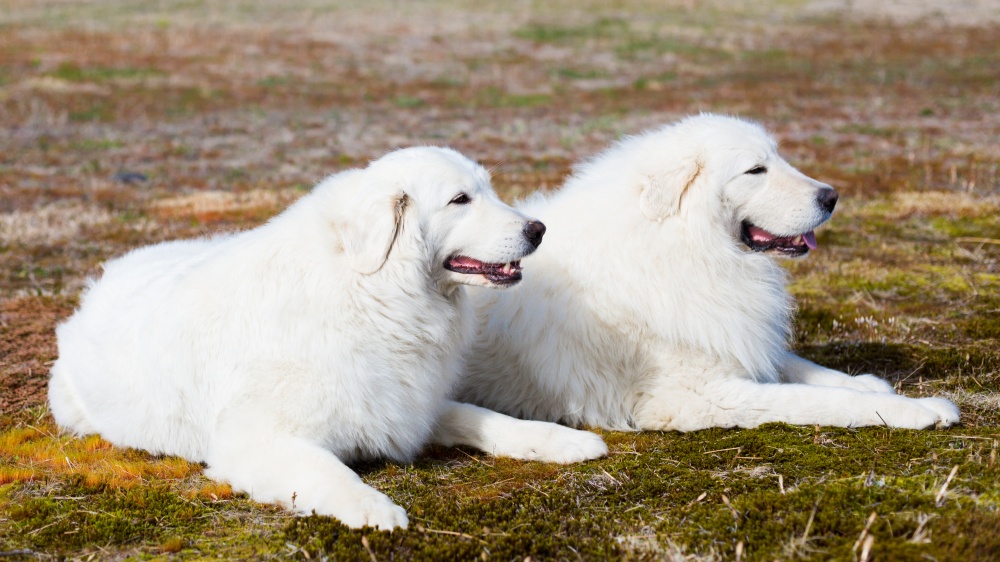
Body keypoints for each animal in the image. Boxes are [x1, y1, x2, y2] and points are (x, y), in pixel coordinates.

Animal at [47, 145, 604, 528]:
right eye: (460, 199)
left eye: (487, 190)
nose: (538, 229)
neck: (369, 292)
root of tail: (96, 287)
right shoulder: (255, 441)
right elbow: (330, 472)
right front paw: (374, 510)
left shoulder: (406, 406)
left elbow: (485, 418)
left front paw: (563, 440)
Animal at [458, 112, 960, 428]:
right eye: (756, 170)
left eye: (776, 158)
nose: (832, 196)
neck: (682, 246)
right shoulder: (700, 395)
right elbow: (817, 399)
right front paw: (919, 410)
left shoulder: (728, 332)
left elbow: (801, 366)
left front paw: (870, 385)